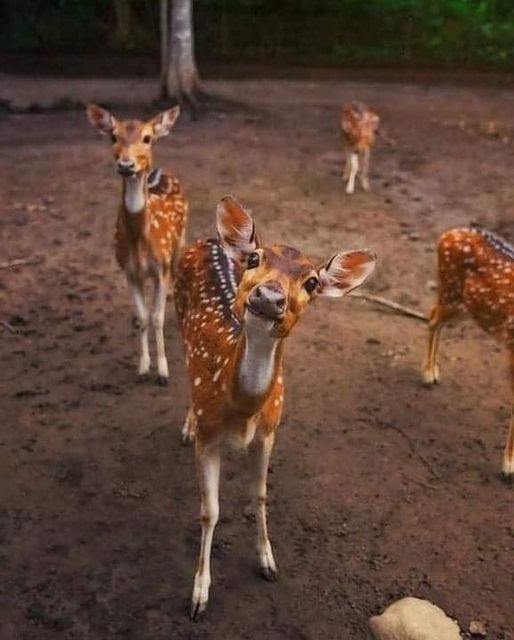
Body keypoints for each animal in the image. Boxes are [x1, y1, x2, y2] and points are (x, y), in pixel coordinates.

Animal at [86, 104, 188, 382]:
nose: (126, 164)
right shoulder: (129, 272)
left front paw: (163, 371)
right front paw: (143, 367)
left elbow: (158, 318)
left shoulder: (161, 268)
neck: (140, 243)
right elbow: (143, 317)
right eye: (113, 136)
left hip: (180, 240)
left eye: (147, 138)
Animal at [173, 196, 376, 620]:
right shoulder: (209, 438)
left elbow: (261, 495)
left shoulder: (269, 432)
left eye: (312, 282)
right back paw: (186, 423)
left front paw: (267, 561)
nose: (268, 297)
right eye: (255, 259)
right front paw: (199, 595)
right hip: (177, 313)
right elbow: (209, 510)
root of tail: (210, 238)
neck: (243, 410)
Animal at [420, 225, 512, 480]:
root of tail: (446, 235)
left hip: (464, 305)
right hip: (454, 295)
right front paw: (508, 466)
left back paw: (434, 370)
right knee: (432, 317)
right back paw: (428, 374)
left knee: (434, 314)